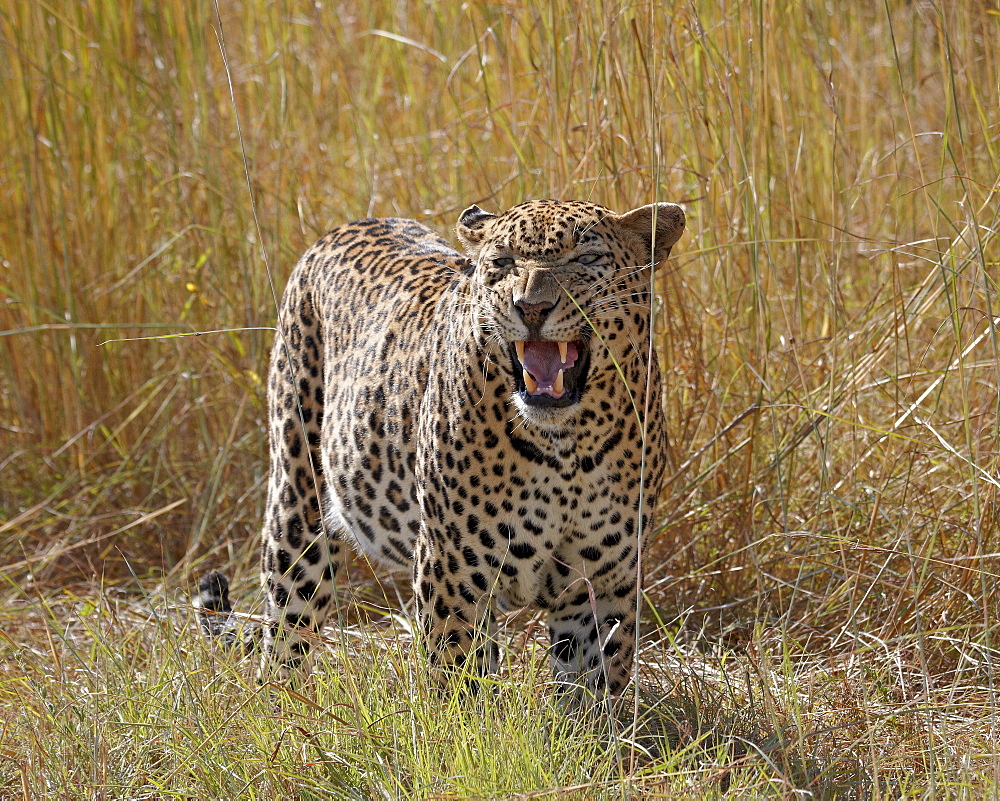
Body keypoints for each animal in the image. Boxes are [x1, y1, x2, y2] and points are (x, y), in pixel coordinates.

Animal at [201, 198, 688, 700]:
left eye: (586, 260)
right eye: (502, 263)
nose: (532, 308)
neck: (566, 444)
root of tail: (348, 226)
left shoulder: (604, 581)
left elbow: (595, 686)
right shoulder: (451, 570)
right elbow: (458, 681)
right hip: (297, 501)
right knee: (287, 628)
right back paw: (283, 703)